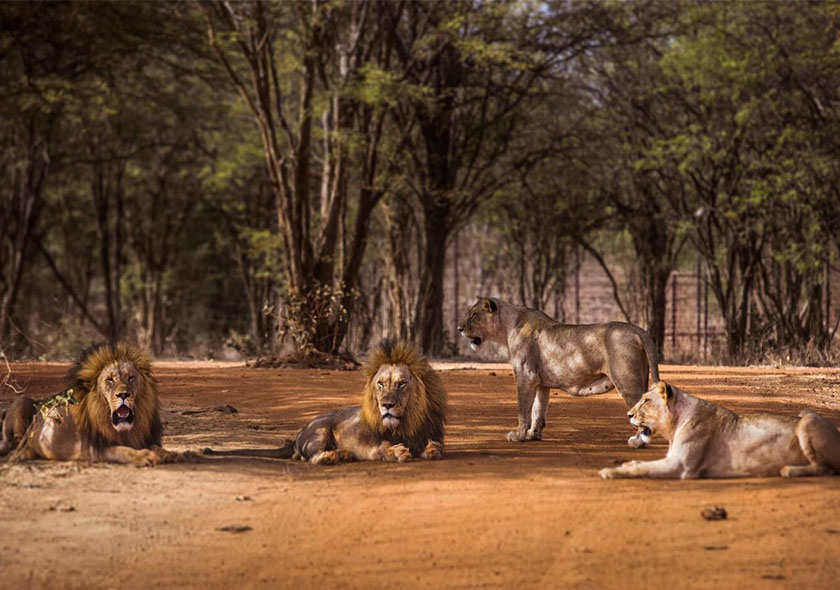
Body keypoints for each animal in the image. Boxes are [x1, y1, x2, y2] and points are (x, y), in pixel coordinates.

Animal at [0, 343, 182, 466]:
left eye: (131, 378)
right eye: (110, 379)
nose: (123, 394)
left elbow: (154, 446)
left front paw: (171, 454)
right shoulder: (97, 449)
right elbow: (125, 451)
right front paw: (145, 456)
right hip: (21, 401)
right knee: (15, 445)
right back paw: (23, 452)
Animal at [203, 340, 447, 465]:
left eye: (401, 384)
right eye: (380, 384)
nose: (386, 405)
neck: (405, 423)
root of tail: (297, 435)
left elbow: (434, 448)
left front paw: (430, 449)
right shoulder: (370, 446)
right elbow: (383, 449)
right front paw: (396, 452)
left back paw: (343, 454)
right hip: (320, 431)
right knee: (309, 457)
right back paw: (332, 456)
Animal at [458, 297, 659, 447]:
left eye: (474, 315)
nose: (459, 329)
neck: (508, 326)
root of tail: (637, 329)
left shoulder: (525, 375)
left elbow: (523, 409)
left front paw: (518, 435)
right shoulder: (540, 383)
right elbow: (538, 410)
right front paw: (533, 435)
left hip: (626, 381)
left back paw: (638, 442)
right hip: (641, 377)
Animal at [599, 381, 840, 479]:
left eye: (646, 401)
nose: (628, 415)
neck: (675, 423)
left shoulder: (681, 466)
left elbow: (642, 468)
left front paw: (610, 471)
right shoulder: (672, 459)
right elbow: (641, 463)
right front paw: (628, 463)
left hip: (808, 420)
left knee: (828, 469)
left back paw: (789, 470)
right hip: (805, 412)